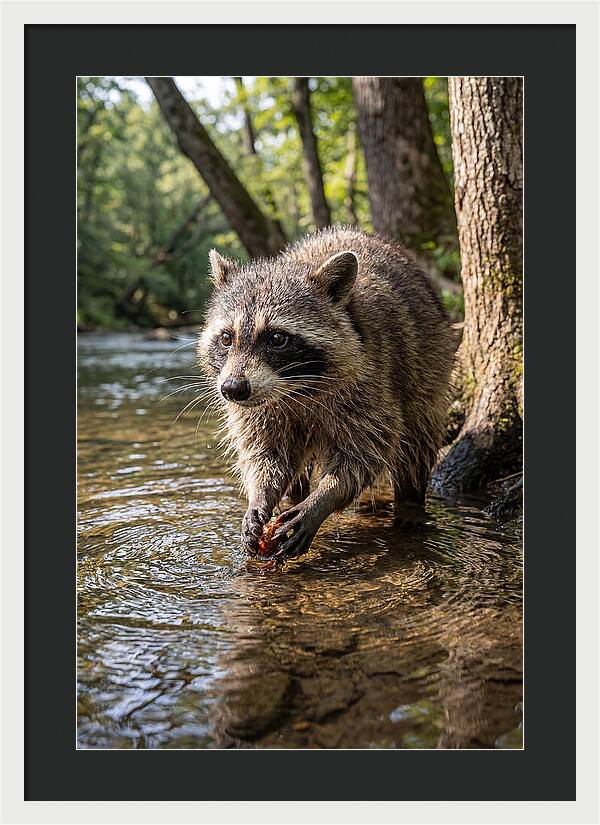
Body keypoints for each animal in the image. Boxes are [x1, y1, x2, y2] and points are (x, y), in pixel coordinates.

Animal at [198, 227, 455, 559]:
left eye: (277, 338)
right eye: (227, 338)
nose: (232, 390)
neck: (295, 388)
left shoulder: (371, 381)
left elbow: (366, 451)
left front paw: (324, 498)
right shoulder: (259, 408)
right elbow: (265, 453)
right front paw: (260, 495)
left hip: (429, 363)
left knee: (417, 439)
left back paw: (410, 501)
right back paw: (293, 496)